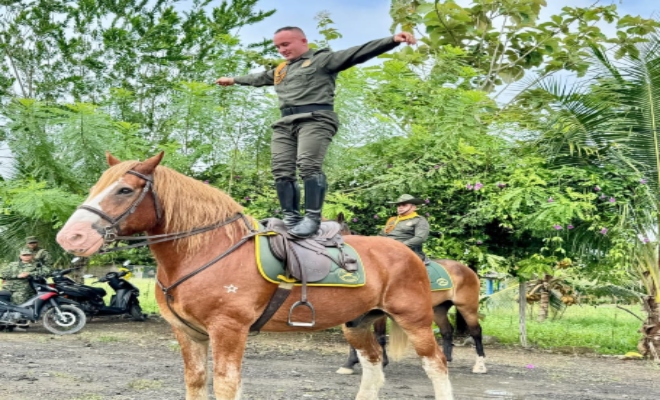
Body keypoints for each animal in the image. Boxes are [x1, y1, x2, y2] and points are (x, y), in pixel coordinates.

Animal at [56, 153, 454, 400]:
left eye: (124, 190)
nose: (70, 237)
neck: (208, 251)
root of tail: (408, 254)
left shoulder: (228, 330)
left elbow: (226, 385)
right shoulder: (188, 333)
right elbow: (196, 383)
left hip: (415, 319)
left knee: (436, 365)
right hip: (358, 323)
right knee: (372, 364)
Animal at [333, 213, 486, 375]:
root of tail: (467, 269)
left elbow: (380, 336)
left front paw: (382, 363)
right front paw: (349, 364)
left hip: (467, 307)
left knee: (476, 332)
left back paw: (480, 365)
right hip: (438, 309)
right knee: (447, 331)